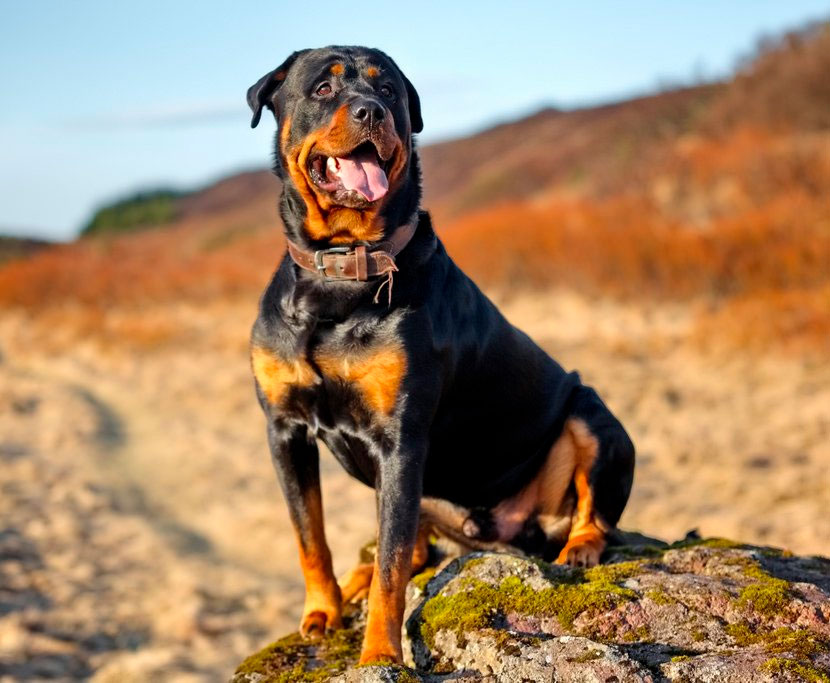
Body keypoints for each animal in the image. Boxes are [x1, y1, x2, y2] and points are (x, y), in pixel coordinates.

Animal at [247, 45, 636, 664]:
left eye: (389, 91)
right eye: (323, 89)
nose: (372, 111)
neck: (339, 275)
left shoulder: (400, 439)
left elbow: (390, 566)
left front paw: (380, 656)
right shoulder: (284, 428)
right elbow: (311, 537)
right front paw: (323, 612)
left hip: (592, 412)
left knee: (592, 505)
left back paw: (579, 547)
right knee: (414, 547)